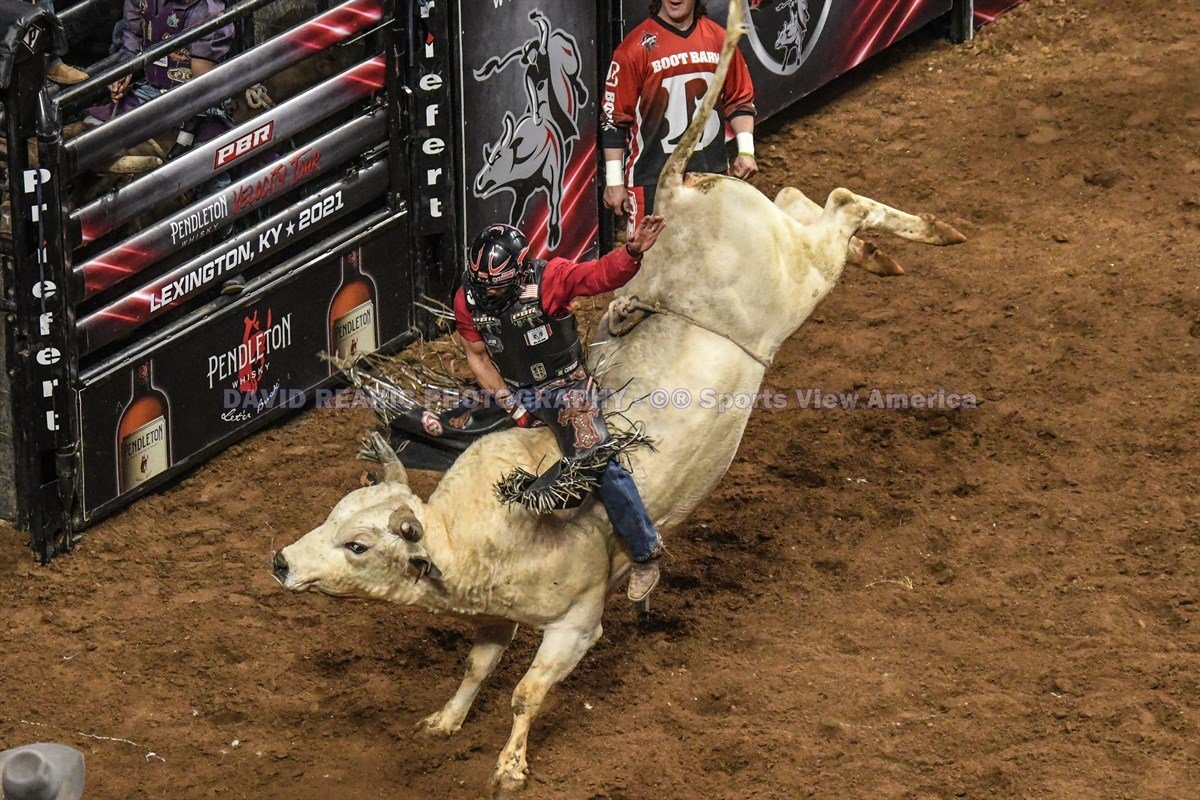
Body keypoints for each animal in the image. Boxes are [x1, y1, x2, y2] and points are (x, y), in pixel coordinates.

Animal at [274, 0, 964, 792]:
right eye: (334, 516)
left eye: (357, 544)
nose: (283, 562)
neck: (485, 530)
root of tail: (678, 192)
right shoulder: (493, 613)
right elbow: (478, 665)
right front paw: (445, 720)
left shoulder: (576, 622)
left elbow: (526, 690)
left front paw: (510, 765)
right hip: (783, 235)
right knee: (808, 200)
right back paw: (882, 247)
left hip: (801, 278)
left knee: (844, 210)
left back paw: (928, 232)